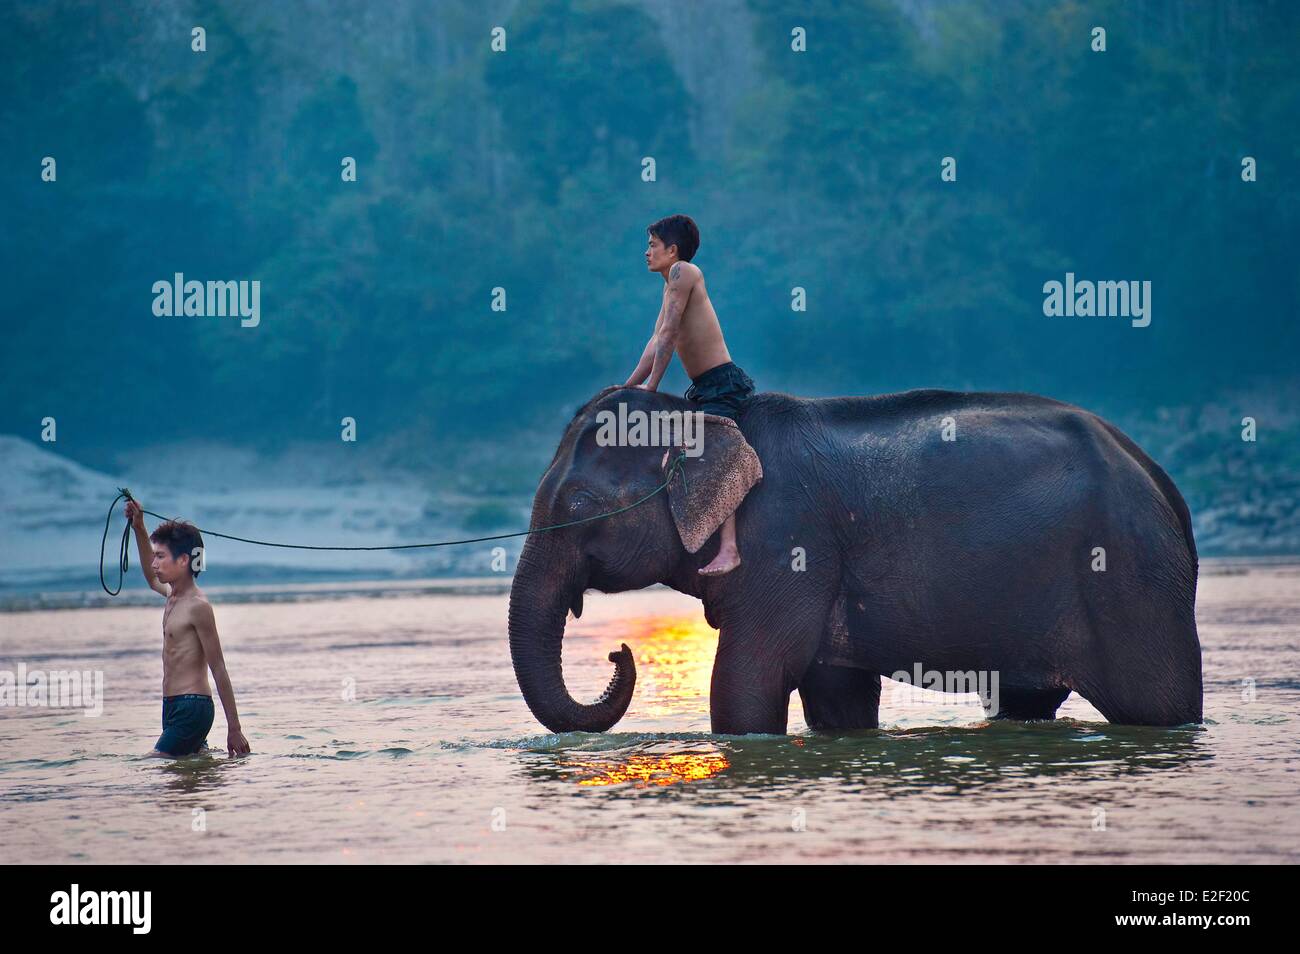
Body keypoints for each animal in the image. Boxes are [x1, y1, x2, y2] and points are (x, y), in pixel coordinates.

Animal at [504, 384, 1196, 738]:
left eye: (579, 504)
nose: (618, 652)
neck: (699, 417)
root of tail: (1167, 489)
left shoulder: (789, 545)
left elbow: (747, 678)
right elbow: (836, 694)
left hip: (1132, 585)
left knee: (1157, 705)